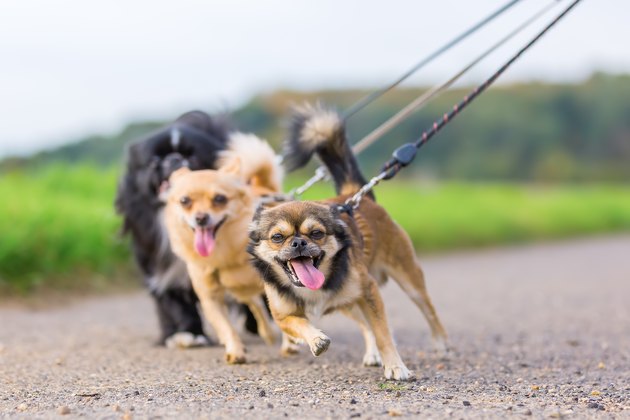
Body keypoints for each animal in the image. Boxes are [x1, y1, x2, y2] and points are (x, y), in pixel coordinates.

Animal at [116, 110, 256, 346]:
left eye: (193, 157)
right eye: (154, 161)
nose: (174, 159)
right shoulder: (165, 274)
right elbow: (177, 306)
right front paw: (190, 334)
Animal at [167, 135, 288, 364]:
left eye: (219, 199)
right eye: (185, 201)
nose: (201, 218)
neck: (225, 252)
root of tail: (265, 188)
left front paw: (291, 343)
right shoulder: (210, 297)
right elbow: (225, 326)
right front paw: (235, 351)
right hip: (241, 291)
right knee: (255, 305)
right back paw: (267, 333)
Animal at [248, 105, 450, 380]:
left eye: (316, 233)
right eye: (278, 237)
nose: (298, 243)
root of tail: (355, 195)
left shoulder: (369, 291)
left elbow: (384, 333)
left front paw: (396, 366)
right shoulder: (282, 315)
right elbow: (301, 324)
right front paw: (315, 339)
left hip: (407, 280)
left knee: (428, 310)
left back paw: (441, 344)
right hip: (348, 303)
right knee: (365, 325)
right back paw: (372, 353)